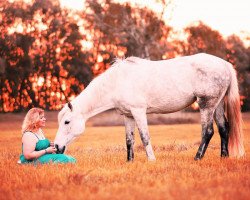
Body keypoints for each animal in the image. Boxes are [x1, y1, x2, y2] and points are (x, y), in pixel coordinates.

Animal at [54, 52, 244, 161]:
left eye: (66, 122)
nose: (56, 147)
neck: (118, 81)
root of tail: (225, 65)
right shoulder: (128, 115)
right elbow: (129, 140)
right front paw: (129, 162)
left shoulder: (139, 112)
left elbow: (144, 137)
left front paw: (151, 160)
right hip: (217, 105)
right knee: (223, 128)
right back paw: (223, 157)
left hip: (206, 104)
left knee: (208, 131)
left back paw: (197, 158)